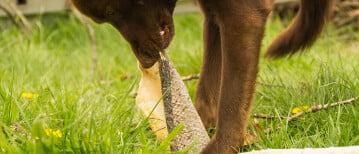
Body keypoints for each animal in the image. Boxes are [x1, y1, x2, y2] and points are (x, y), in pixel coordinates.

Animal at [71, 0, 336, 153]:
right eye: (106, 17)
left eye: (111, 11)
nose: (146, 61)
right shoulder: (213, 13)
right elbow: (209, 83)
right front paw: (198, 124)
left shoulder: (243, 13)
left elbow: (232, 98)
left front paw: (220, 146)